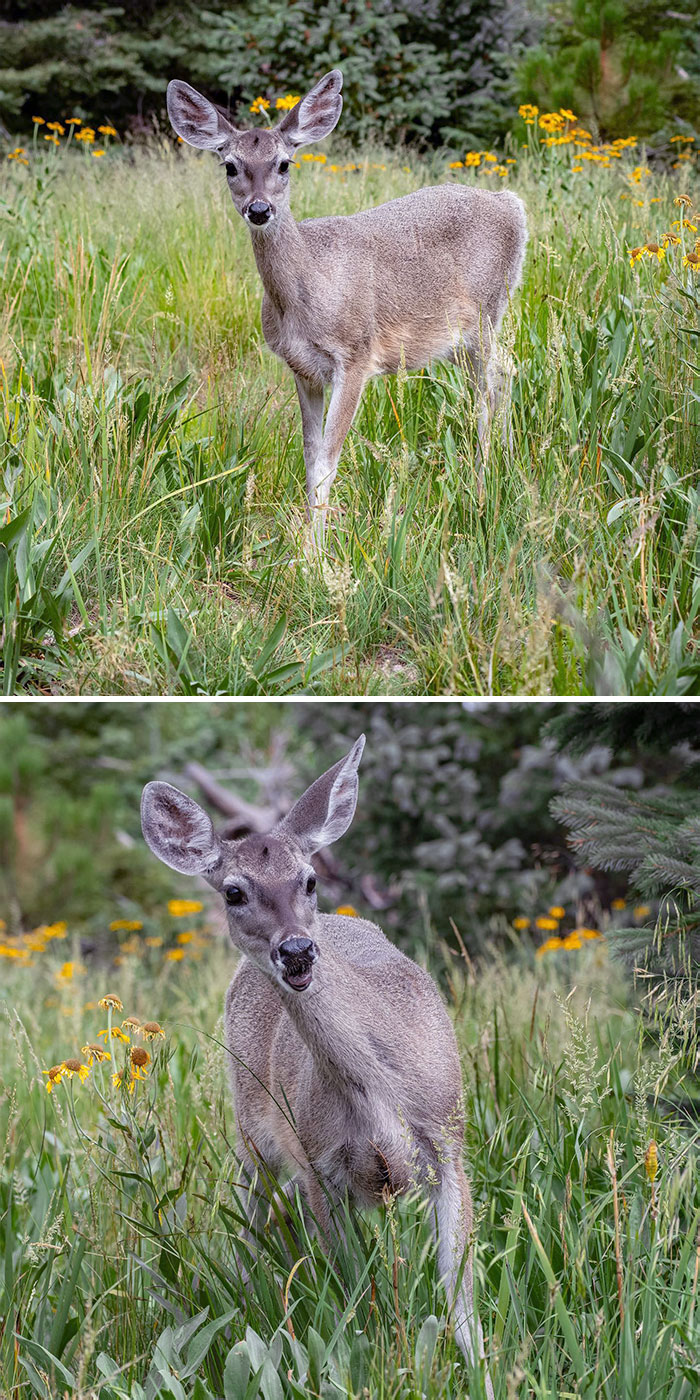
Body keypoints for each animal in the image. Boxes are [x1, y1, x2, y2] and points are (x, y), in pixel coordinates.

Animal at [139, 739, 495, 1394]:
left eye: (308, 879)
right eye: (233, 891)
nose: (297, 951)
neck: (380, 1096)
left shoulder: (450, 1143)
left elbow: (459, 1303)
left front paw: (487, 1376)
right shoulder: (316, 1161)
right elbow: (353, 1293)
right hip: (250, 1134)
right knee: (250, 1229)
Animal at [163, 71, 526, 548]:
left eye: (284, 164)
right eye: (230, 166)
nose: (259, 209)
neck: (305, 297)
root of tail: (510, 204)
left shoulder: (356, 356)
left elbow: (327, 460)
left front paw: (312, 553)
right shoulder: (302, 369)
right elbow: (309, 453)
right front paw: (307, 540)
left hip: (486, 313)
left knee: (492, 386)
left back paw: (487, 483)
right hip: (462, 339)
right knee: (500, 375)